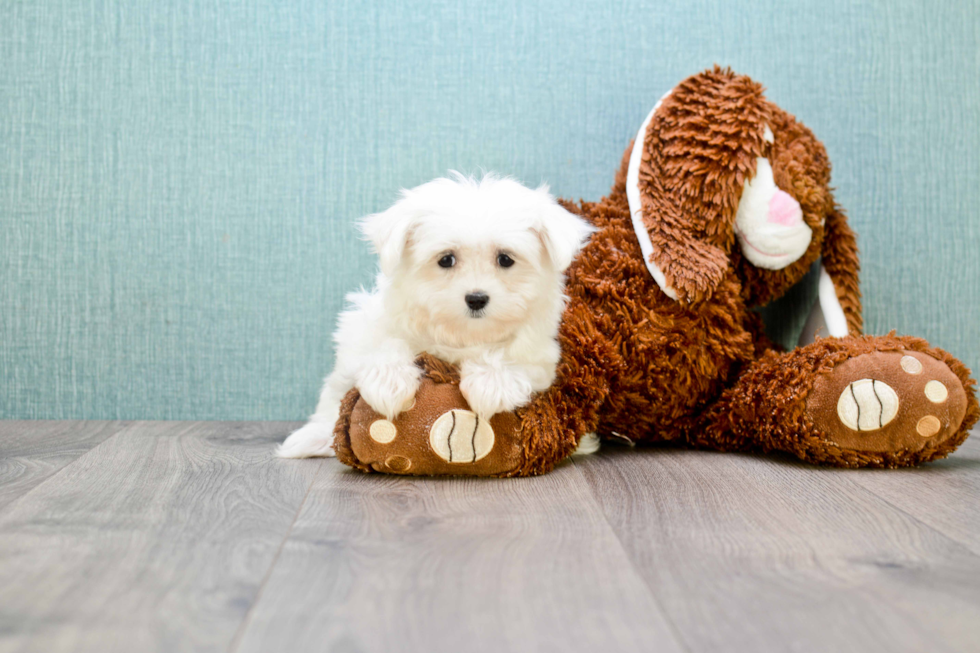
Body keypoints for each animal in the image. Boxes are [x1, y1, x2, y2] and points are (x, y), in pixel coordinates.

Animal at [278, 173, 596, 458]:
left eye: (505, 259)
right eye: (446, 259)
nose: (476, 298)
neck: (461, 335)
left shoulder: (541, 357)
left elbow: (511, 356)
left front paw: (492, 382)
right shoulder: (368, 326)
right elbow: (386, 342)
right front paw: (388, 381)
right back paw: (314, 438)